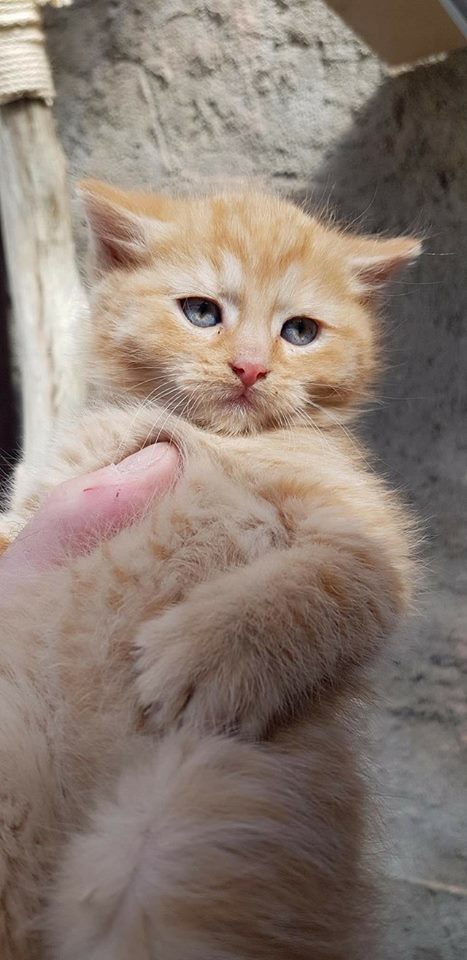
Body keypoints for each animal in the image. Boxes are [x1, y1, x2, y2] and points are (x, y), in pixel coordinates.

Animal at [0, 181, 421, 959]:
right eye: (201, 312)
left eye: (300, 331)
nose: (250, 368)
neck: (206, 436)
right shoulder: (50, 488)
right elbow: (13, 527)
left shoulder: (372, 546)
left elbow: (312, 587)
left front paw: (211, 654)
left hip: (198, 829)